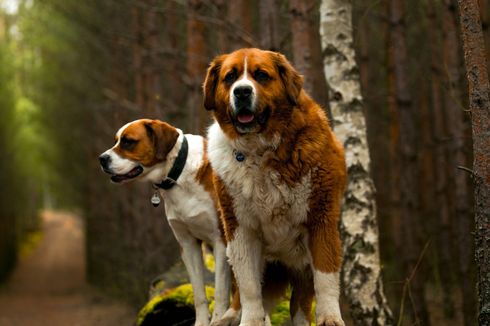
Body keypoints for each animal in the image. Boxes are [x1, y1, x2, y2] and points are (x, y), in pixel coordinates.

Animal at [99, 119, 232, 326]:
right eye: (116, 141)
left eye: (128, 142)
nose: (101, 159)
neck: (179, 173)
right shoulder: (188, 244)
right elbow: (198, 293)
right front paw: (202, 322)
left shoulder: (220, 242)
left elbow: (220, 292)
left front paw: (217, 320)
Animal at [203, 48, 348, 326]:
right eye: (230, 77)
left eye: (261, 75)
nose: (242, 92)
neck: (260, 151)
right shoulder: (240, 227)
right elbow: (249, 286)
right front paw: (250, 321)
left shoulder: (321, 218)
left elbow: (325, 276)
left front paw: (330, 319)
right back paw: (229, 317)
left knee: (300, 303)